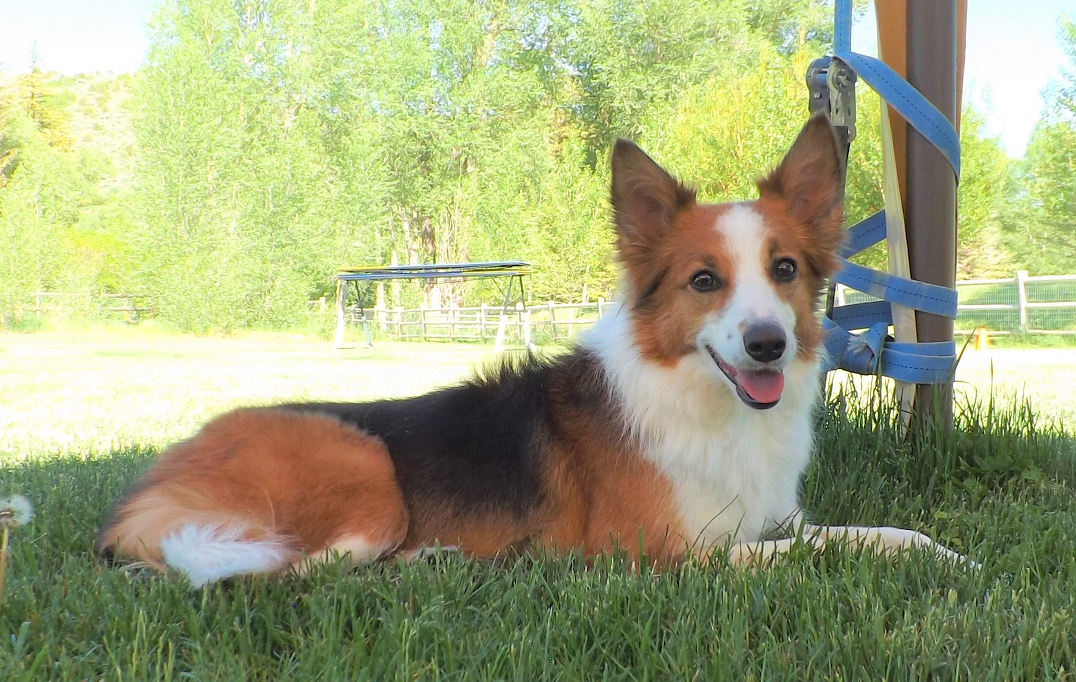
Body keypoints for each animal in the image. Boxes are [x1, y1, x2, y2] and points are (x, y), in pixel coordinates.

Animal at [96, 112, 968, 585]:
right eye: (704, 281)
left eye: (784, 270)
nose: (767, 345)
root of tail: (158, 478)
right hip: (363, 468)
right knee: (288, 569)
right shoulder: (660, 554)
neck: (702, 402)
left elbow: (865, 537)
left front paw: (943, 555)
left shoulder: (766, 521)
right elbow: (807, 558)